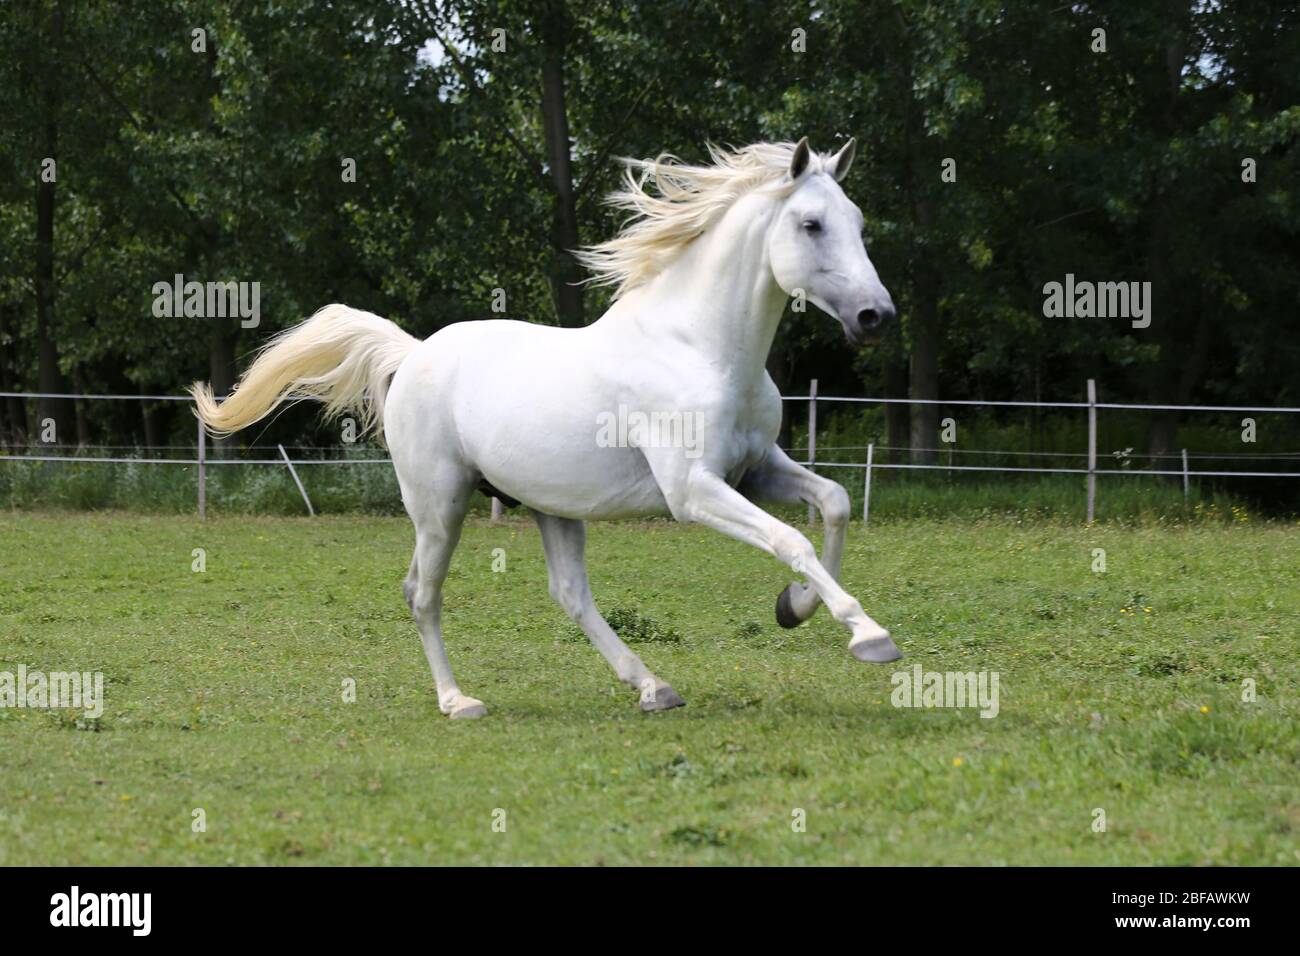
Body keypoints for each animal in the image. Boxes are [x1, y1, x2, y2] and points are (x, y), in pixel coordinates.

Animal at [192, 136, 899, 717]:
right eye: (811, 224)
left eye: (859, 222)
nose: (876, 317)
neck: (697, 345)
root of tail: (413, 352)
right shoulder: (693, 490)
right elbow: (791, 539)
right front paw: (869, 635)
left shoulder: (756, 470)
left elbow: (834, 503)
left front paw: (794, 607)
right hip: (440, 506)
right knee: (422, 592)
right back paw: (458, 701)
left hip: (550, 505)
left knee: (569, 593)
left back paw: (653, 687)